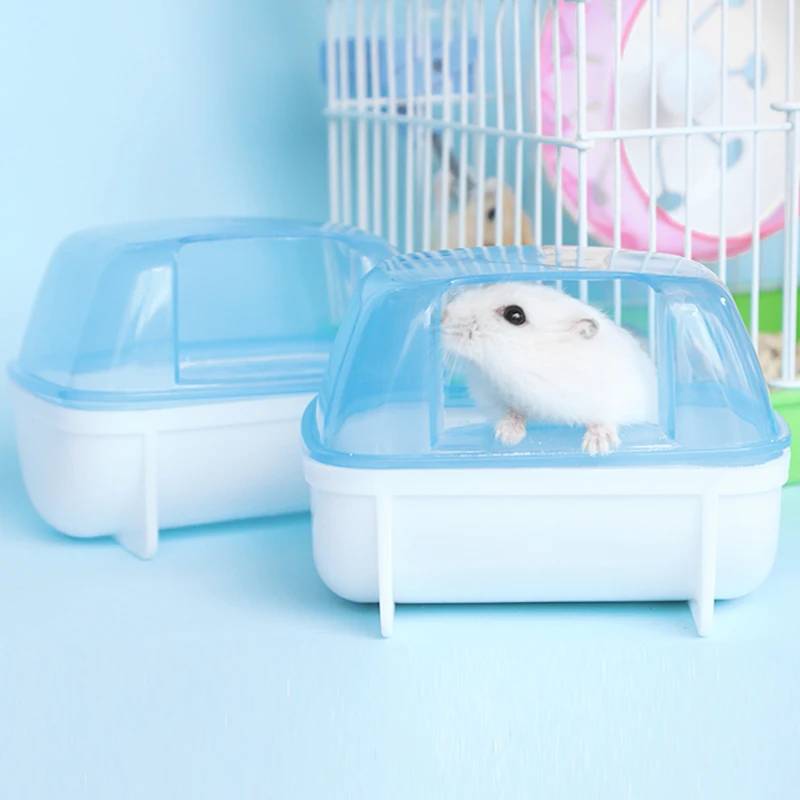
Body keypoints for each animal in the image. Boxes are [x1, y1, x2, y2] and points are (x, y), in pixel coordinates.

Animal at [440, 281, 658, 455]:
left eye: (515, 315)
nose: (443, 315)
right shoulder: (491, 397)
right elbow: (509, 410)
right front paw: (509, 438)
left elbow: (605, 417)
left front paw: (596, 448)